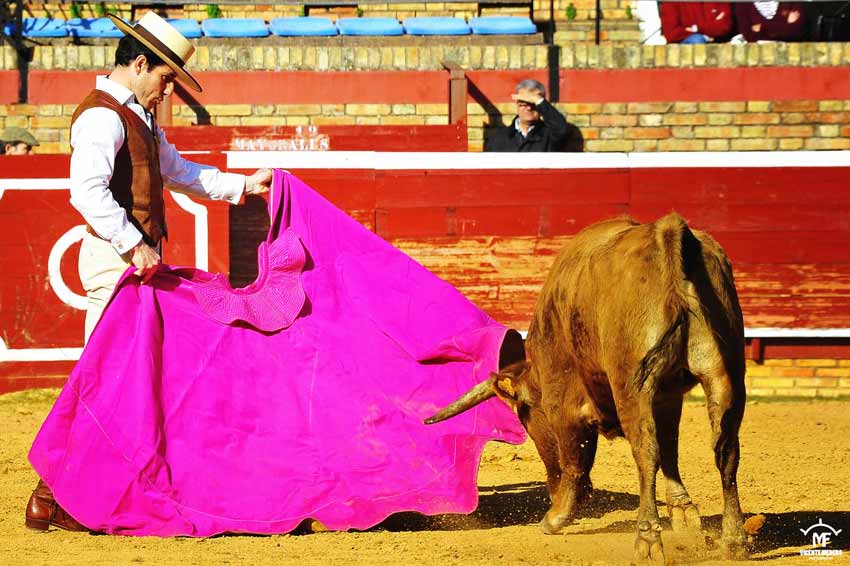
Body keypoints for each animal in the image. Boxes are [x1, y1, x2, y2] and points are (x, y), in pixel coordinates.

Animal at [428, 215, 744, 564]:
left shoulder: (563, 401)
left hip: (633, 385)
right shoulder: (668, 396)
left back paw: (647, 539)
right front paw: (684, 514)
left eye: (526, 419)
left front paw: (556, 517)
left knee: (646, 453)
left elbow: (575, 459)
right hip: (725, 373)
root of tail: (666, 231)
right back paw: (734, 539)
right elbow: (671, 449)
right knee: (726, 450)